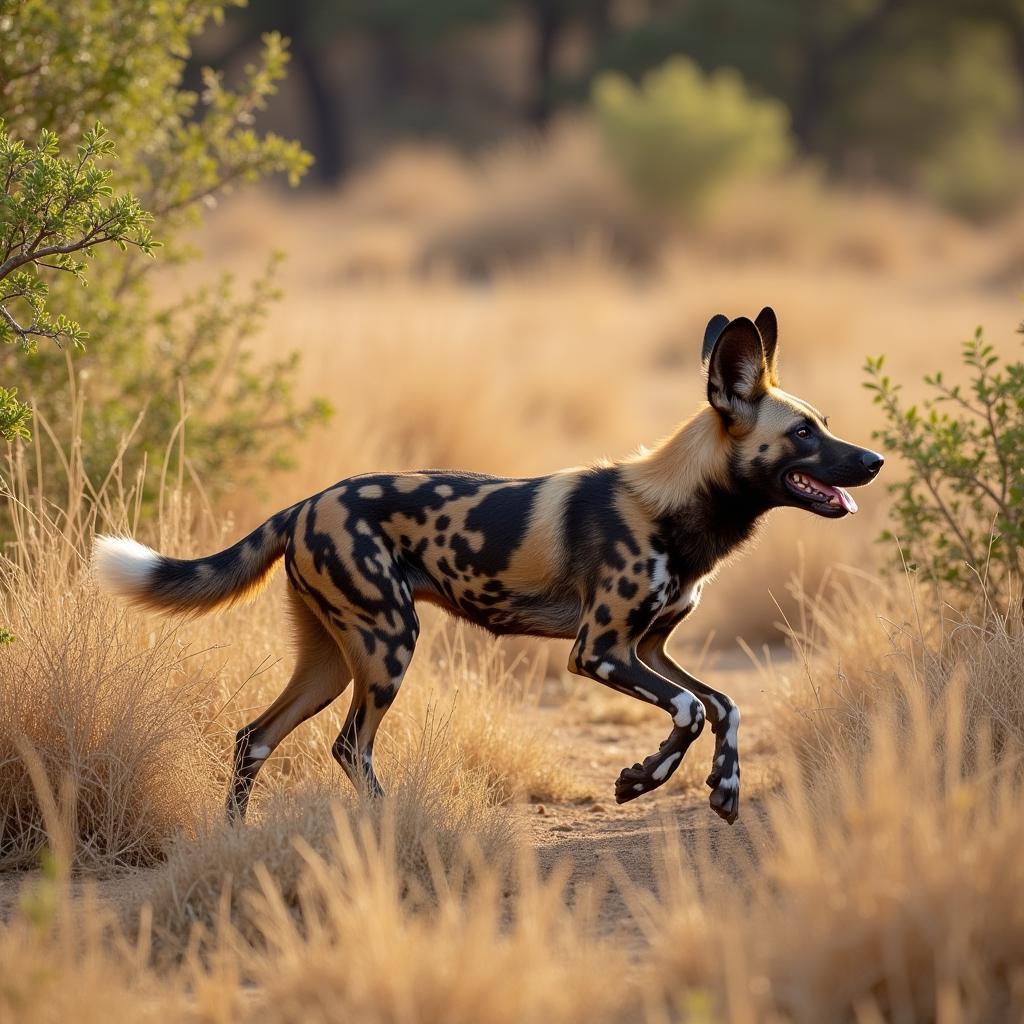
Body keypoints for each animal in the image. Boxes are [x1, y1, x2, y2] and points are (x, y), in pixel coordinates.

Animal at [94, 307, 880, 827]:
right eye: (804, 434)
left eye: (826, 424)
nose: (873, 461)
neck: (675, 505)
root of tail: (307, 503)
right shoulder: (599, 651)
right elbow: (689, 708)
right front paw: (637, 781)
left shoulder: (651, 647)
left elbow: (723, 703)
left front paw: (724, 787)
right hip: (388, 648)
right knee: (350, 748)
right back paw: (389, 824)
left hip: (330, 663)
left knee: (253, 739)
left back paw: (234, 838)